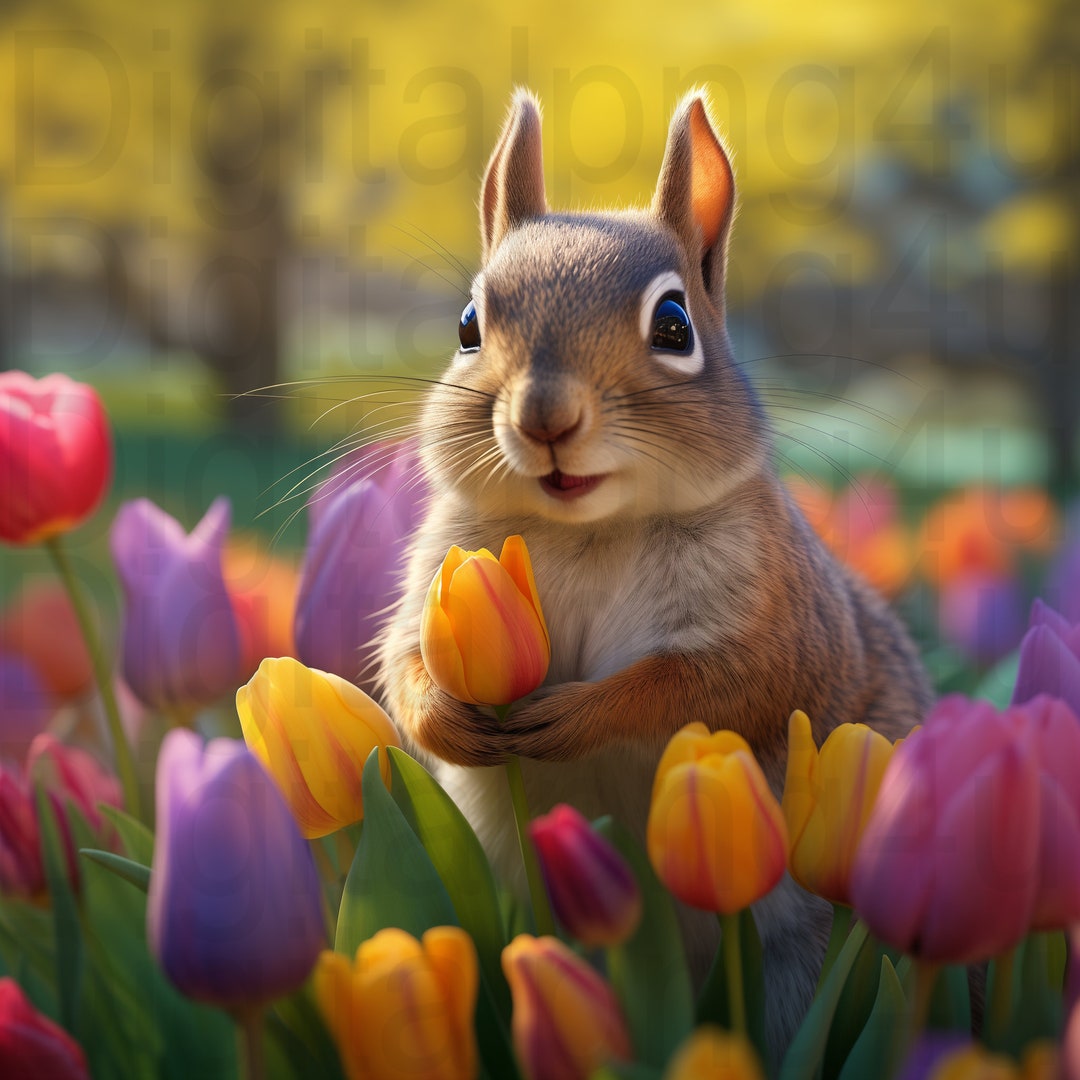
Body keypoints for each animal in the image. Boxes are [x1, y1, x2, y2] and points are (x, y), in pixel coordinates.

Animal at [377, 88, 932, 1053]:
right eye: (468, 327)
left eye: (674, 326)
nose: (545, 416)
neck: (594, 531)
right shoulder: (436, 574)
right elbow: (402, 662)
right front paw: (449, 718)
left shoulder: (772, 619)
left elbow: (707, 685)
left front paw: (572, 716)